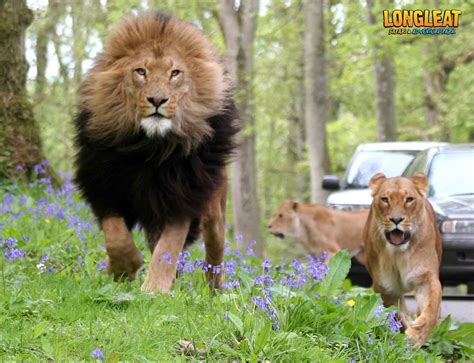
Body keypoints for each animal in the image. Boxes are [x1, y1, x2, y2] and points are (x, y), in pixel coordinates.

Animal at [73, 12, 237, 294]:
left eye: (175, 73)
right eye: (141, 71)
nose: (157, 100)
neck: (149, 148)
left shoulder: (183, 195)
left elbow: (167, 248)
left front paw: (154, 290)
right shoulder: (105, 187)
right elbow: (116, 236)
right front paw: (121, 270)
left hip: (214, 209)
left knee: (215, 253)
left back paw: (215, 291)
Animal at [364, 173, 442, 346]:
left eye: (409, 199)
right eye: (385, 199)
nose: (396, 219)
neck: (398, 253)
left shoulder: (425, 277)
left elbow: (431, 307)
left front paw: (416, 335)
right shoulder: (386, 287)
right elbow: (396, 314)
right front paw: (404, 337)